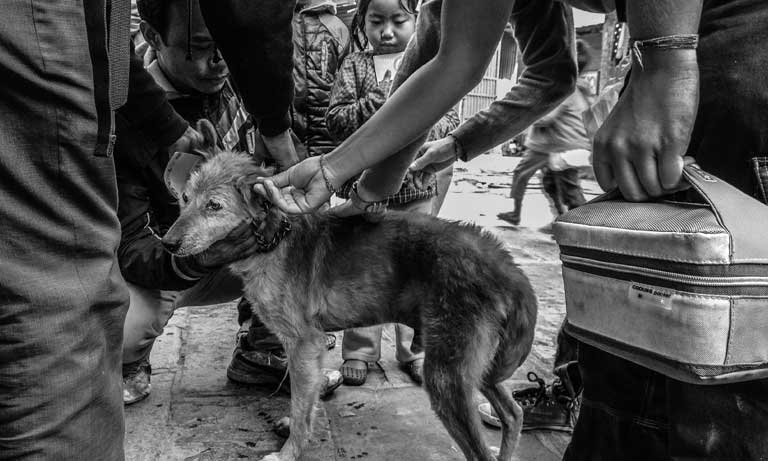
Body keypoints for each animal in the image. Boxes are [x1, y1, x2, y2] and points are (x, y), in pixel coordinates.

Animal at [163, 120, 536, 458]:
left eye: (214, 206)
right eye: (185, 198)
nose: (166, 243)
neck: (274, 239)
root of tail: (504, 262)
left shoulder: (304, 343)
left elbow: (300, 405)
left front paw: (289, 452)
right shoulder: (304, 349)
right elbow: (305, 401)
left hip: (448, 375)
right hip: (479, 365)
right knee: (513, 413)